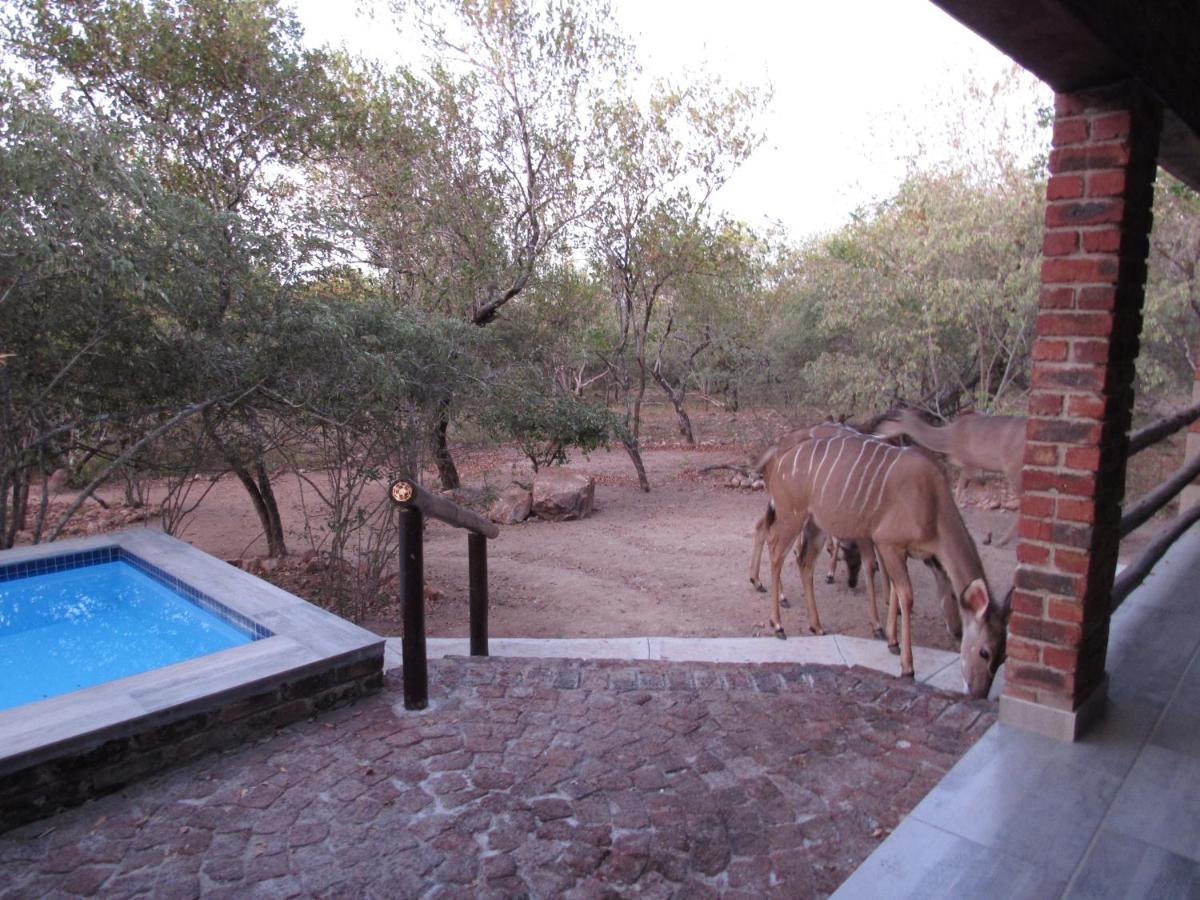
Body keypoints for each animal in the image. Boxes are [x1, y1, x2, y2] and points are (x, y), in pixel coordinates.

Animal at [763, 429, 1008, 696]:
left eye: (1003, 656)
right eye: (985, 652)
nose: (979, 694)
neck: (932, 505)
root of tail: (779, 461)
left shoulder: (897, 549)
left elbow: (895, 591)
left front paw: (892, 641)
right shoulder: (888, 542)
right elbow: (906, 595)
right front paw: (907, 665)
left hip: (815, 523)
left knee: (804, 562)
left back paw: (816, 626)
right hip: (791, 516)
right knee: (775, 552)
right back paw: (778, 625)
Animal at [878, 412, 1027, 547]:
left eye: (892, 419)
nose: (877, 431)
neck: (948, 438)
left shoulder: (970, 466)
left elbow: (964, 495)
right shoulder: (972, 468)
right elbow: (974, 495)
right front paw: (987, 537)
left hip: (1013, 470)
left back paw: (1003, 540)